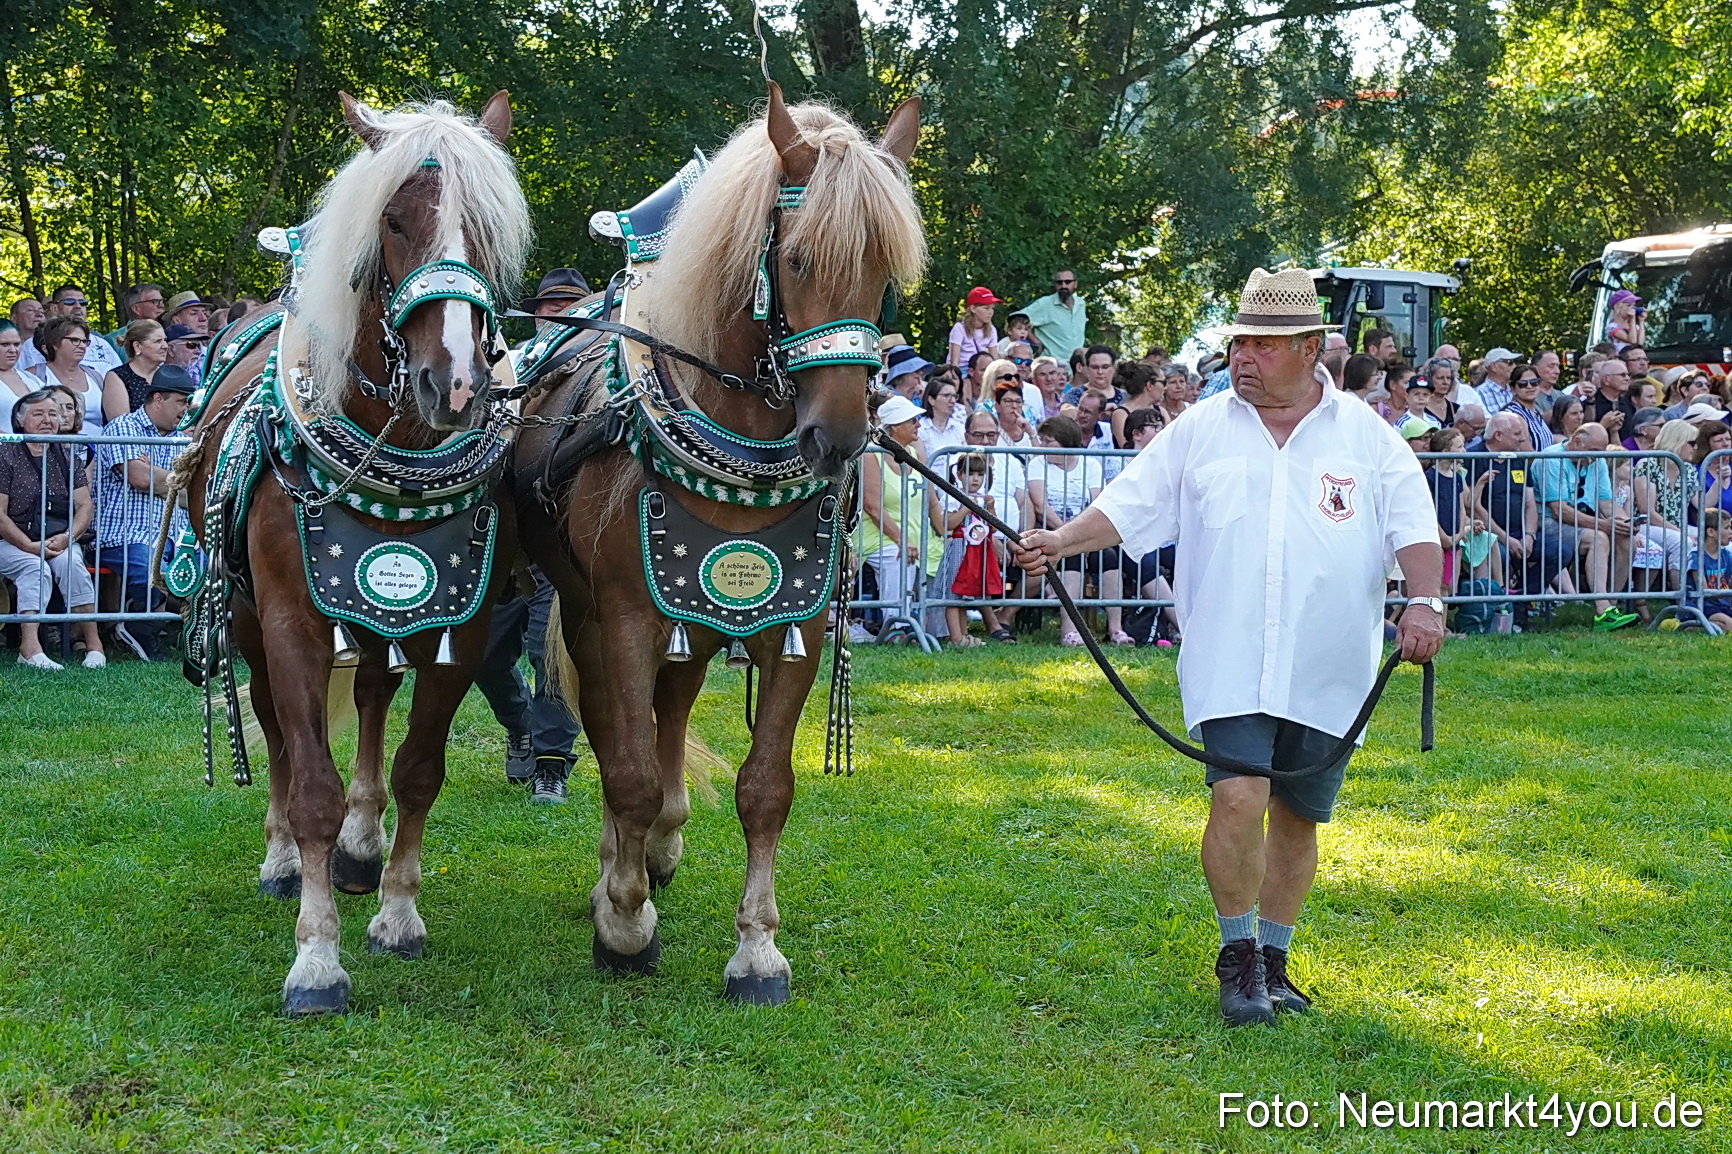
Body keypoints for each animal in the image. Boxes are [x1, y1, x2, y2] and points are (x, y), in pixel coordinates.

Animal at [175, 92, 531, 1016]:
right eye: (394, 222)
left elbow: (416, 769)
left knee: (372, 693)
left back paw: (363, 850)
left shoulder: (461, 622)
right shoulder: (293, 623)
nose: (455, 384)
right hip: (251, 621)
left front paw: (397, 911)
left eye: (488, 230)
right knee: (272, 727)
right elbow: (310, 786)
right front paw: (316, 959)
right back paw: (283, 861)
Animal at [516, 83, 923, 1004]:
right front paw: (625, 927)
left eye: (884, 277)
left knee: (668, 712)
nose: (837, 440)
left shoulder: (793, 624)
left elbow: (765, 788)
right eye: (797, 260)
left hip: (694, 619)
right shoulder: (628, 618)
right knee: (615, 733)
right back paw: (621, 874)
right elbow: (626, 771)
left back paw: (660, 846)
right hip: (597, 615)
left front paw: (757, 949)